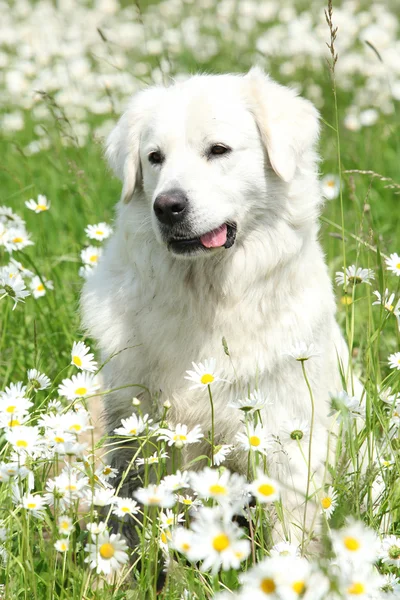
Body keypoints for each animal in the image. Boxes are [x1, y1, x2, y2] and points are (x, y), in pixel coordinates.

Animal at [82, 67, 350, 548]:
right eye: (155, 158)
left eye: (218, 150)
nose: (167, 206)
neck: (206, 295)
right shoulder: (130, 431)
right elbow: (127, 525)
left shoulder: (286, 443)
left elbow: (291, 539)